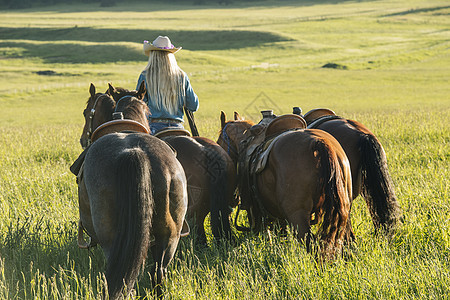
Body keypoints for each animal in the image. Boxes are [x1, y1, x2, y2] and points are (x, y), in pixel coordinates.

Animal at [74, 84, 187, 298]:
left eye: (85, 112)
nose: (83, 139)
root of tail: (134, 152)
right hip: (169, 237)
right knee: (158, 273)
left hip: (112, 240)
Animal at [216, 111, 354, 256]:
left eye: (219, 142)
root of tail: (319, 142)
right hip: (342, 209)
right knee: (344, 238)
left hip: (298, 216)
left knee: (311, 245)